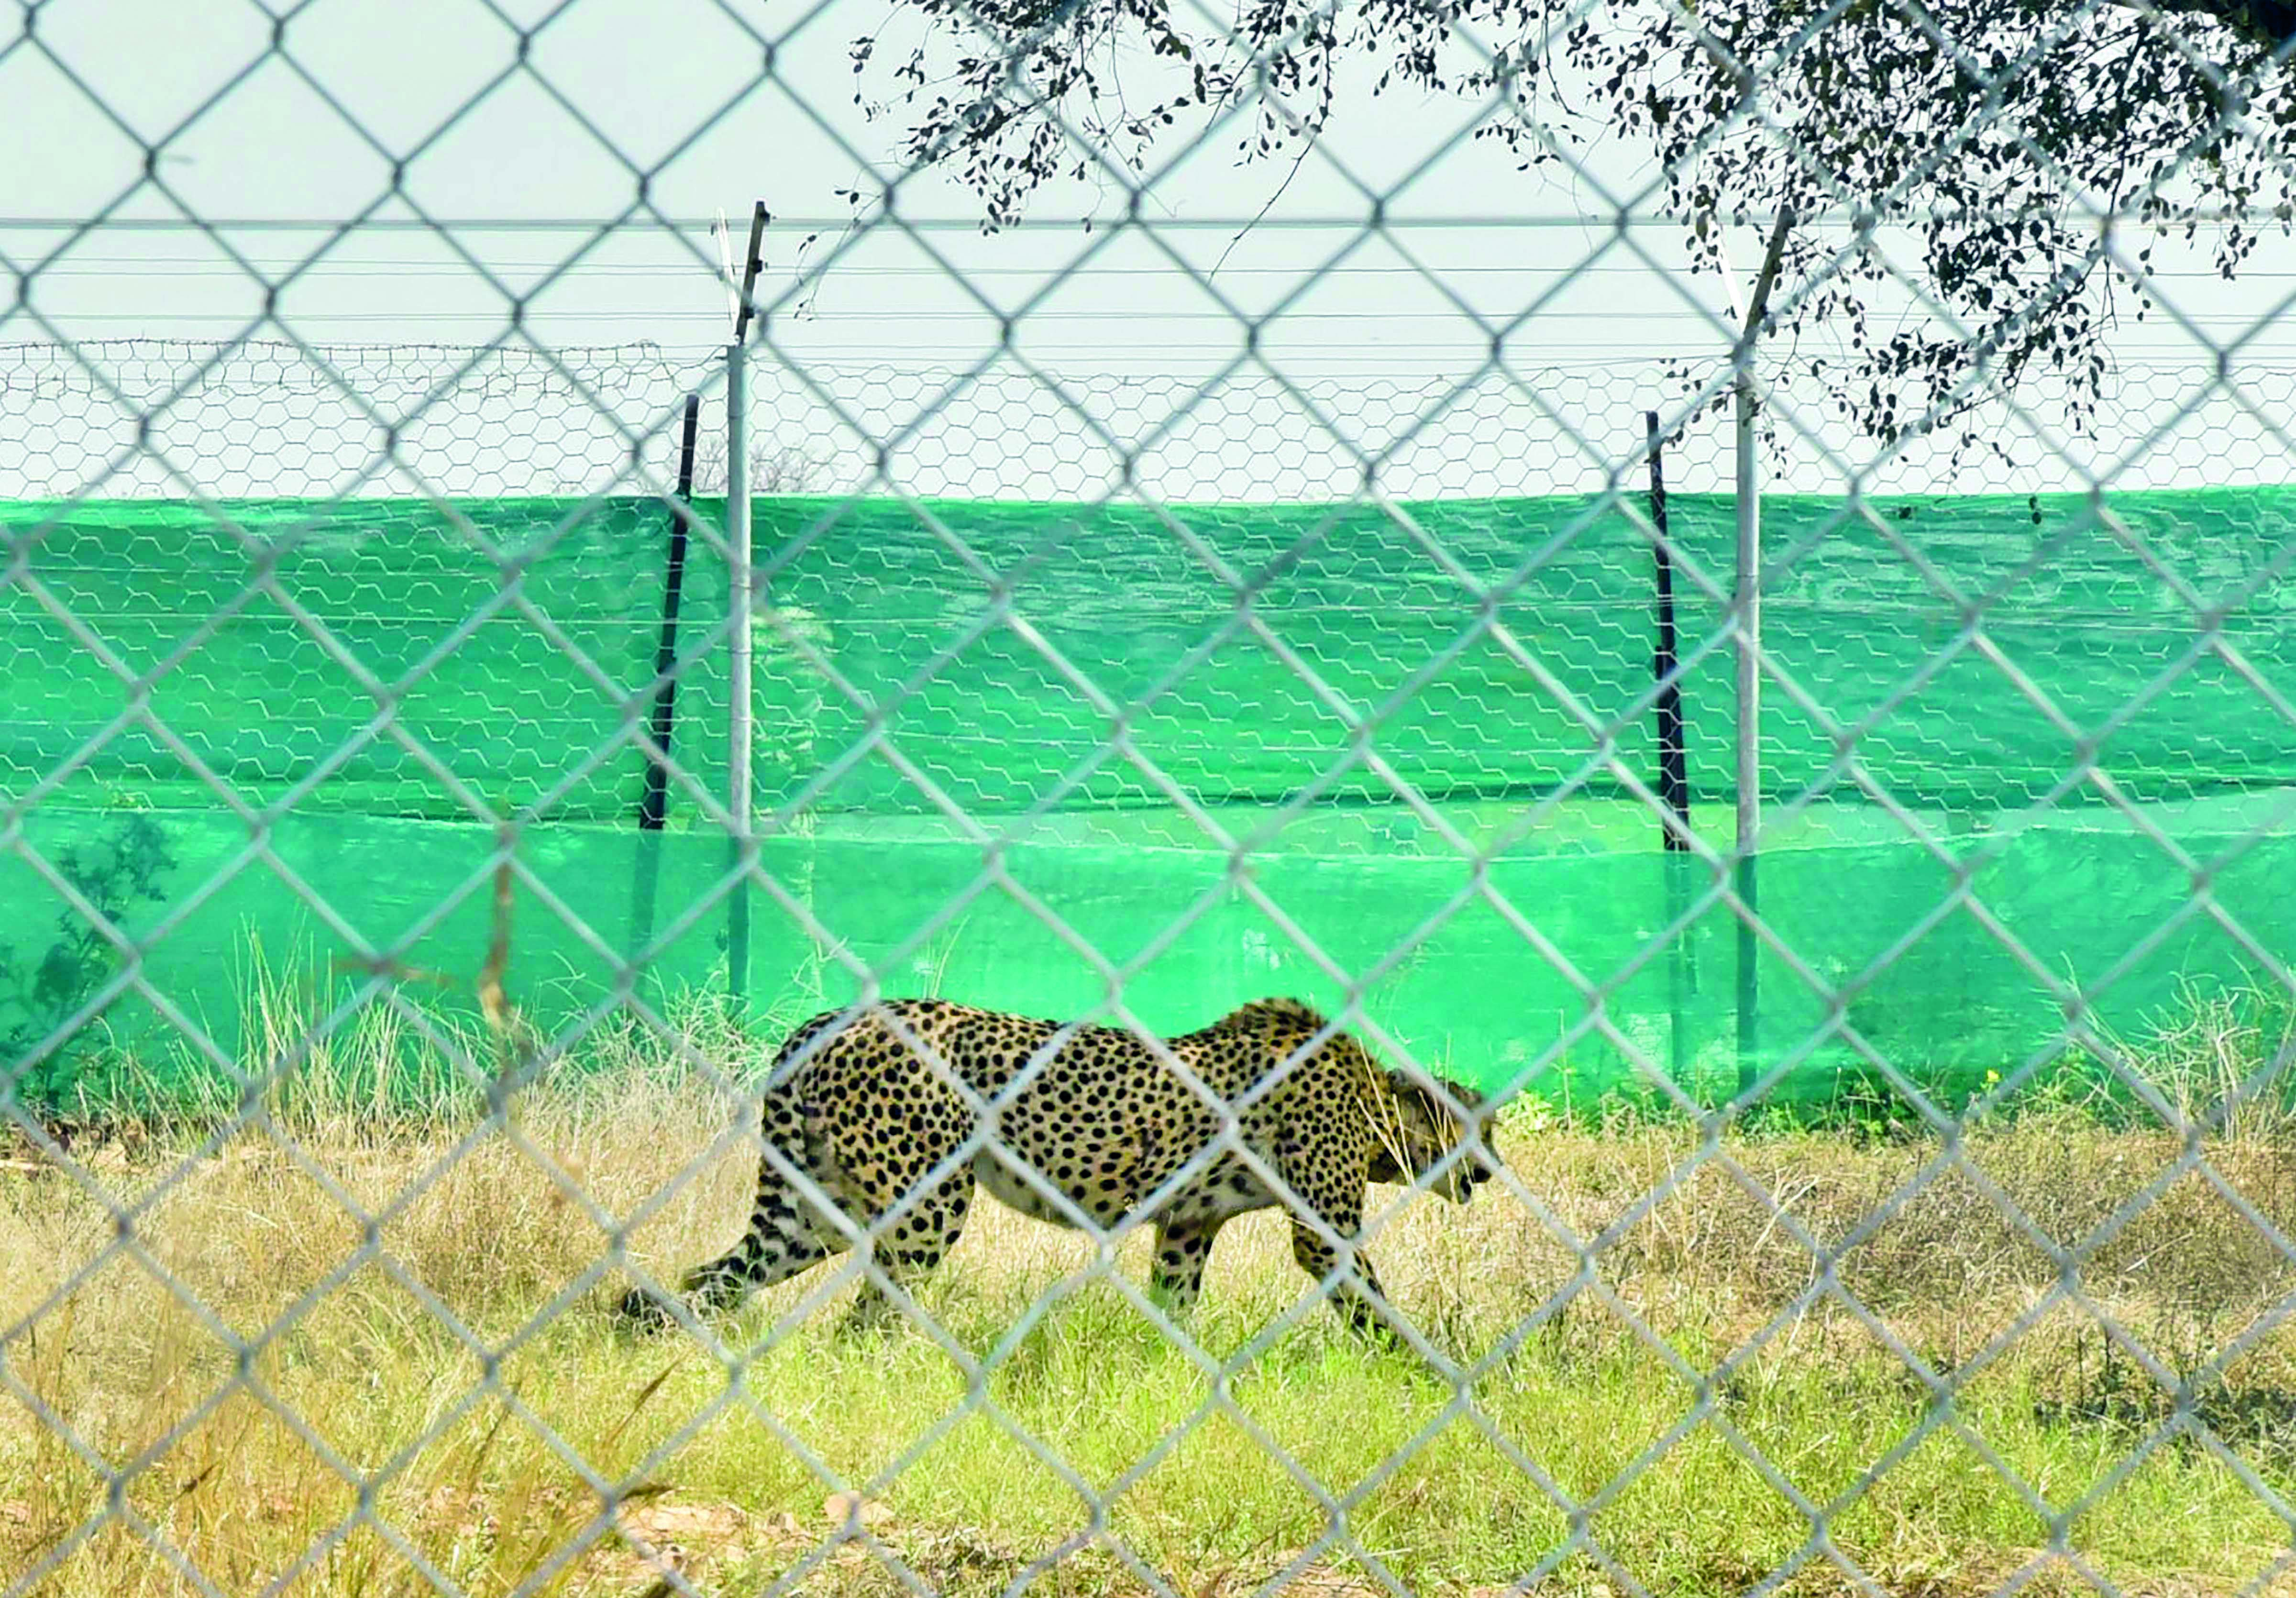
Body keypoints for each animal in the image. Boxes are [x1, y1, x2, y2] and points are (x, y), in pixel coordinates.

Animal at [615, 995, 1497, 1342]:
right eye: (1475, 1131)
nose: (1490, 1173)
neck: (1376, 1102)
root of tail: (837, 1017)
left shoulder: (1188, 1223)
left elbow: (1175, 1307)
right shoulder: (1325, 1234)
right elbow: (1375, 1305)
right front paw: (1434, 1373)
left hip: (811, 1214)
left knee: (707, 1279)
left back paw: (649, 1336)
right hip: (926, 1206)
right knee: (866, 1320)